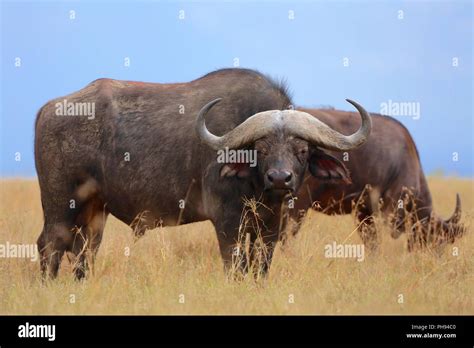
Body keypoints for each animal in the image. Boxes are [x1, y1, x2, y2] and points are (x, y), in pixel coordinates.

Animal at [35, 68, 372, 280]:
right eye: (260, 149)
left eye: (301, 150)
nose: (279, 178)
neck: (256, 185)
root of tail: (48, 109)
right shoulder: (227, 223)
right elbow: (236, 267)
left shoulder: (271, 226)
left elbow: (260, 266)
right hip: (60, 208)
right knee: (49, 246)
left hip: (94, 213)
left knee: (83, 252)